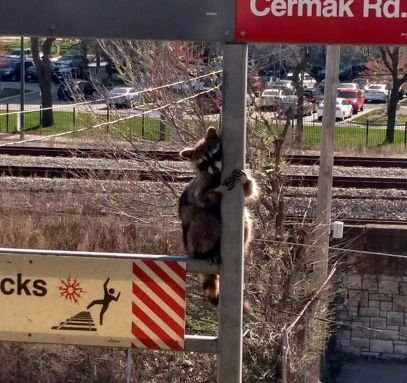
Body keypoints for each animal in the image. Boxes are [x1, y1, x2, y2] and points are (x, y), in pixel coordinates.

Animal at [179, 127, 258, 310]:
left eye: (214, 155)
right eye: (203, 163)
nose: (215, 171)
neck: (216, 175)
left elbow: (248, 192)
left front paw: (246, 181)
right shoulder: (201, 183)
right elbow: (201, 199)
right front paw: (218, 191)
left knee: (245, 221)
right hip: (190, 240)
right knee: (204, 217)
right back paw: (204, 252)